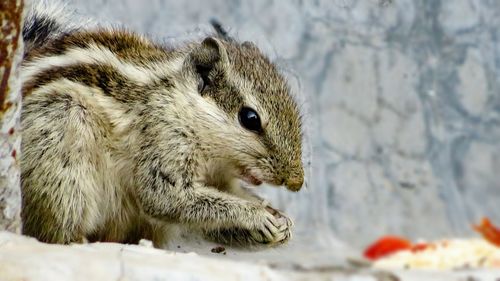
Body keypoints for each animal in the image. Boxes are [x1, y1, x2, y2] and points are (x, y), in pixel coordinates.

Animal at [20, 2, 304, 247]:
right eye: (250, 118)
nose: (296, 182)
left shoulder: (221, 178)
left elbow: (230, 194)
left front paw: (279, 218)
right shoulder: (164, 141)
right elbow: (166, 198)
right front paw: (257, 216)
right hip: (62, 151)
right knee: (53, 230)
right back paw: (77, 241)